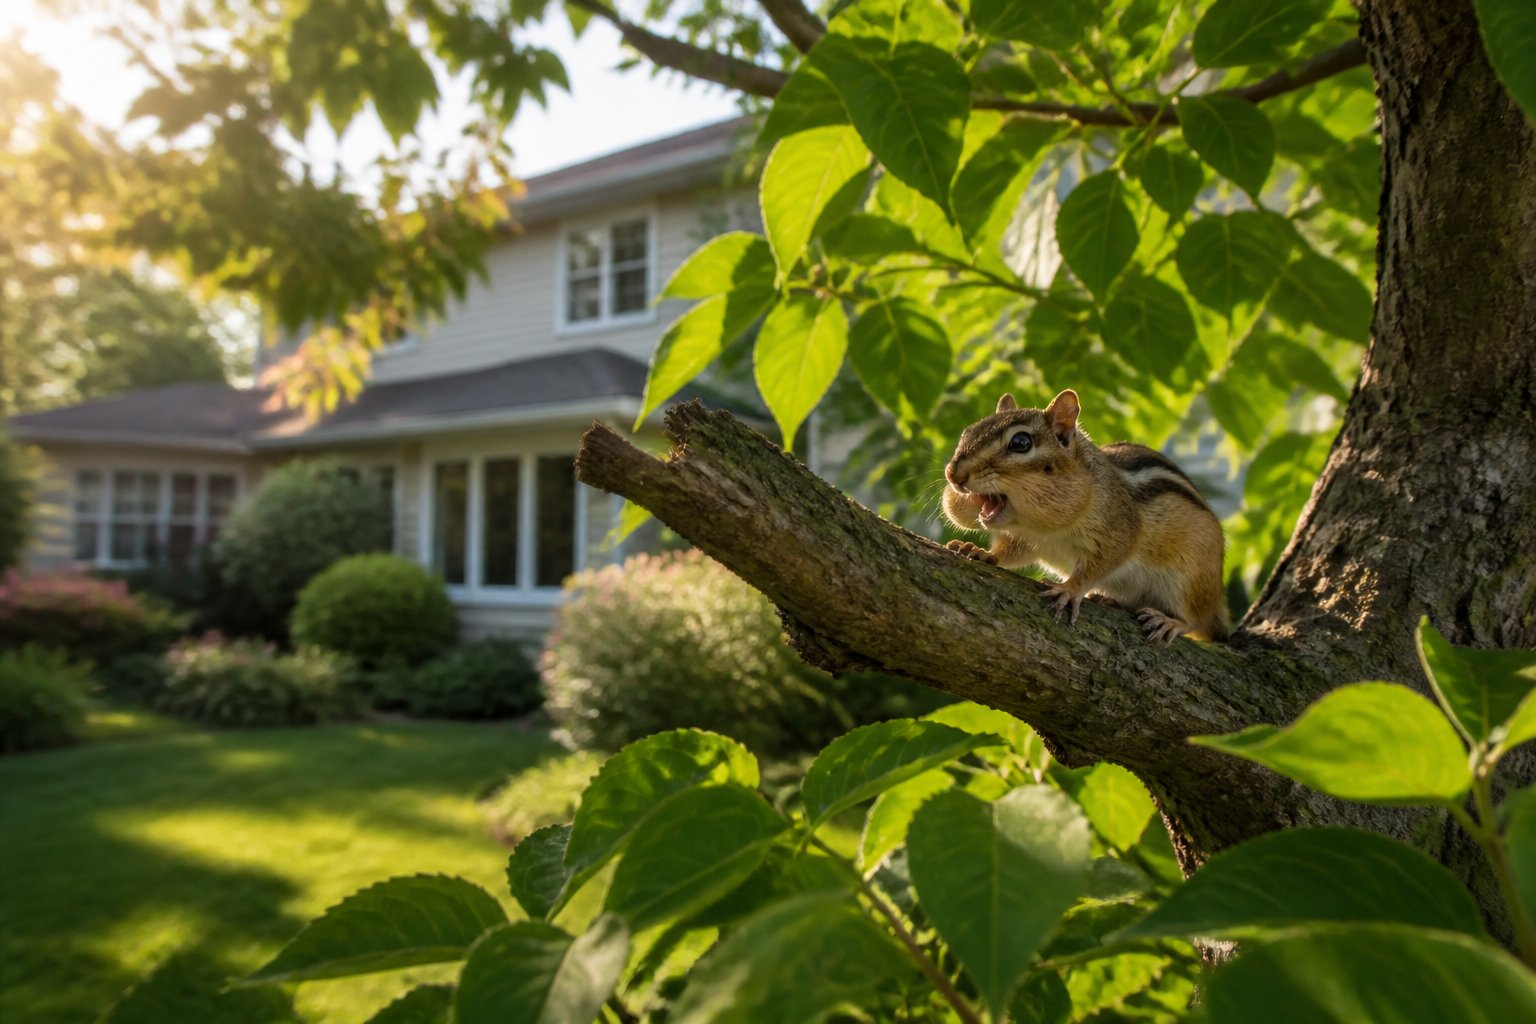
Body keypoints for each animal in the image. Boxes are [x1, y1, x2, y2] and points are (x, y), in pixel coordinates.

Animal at [940, 389, 1230, 643]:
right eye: (968, 432)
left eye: (1020, 443)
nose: (953, 474)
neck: (1043, 528)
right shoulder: (1026, 540)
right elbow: (1011, 553)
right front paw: (979, 552)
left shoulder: (1118, 530)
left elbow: (1101, 564)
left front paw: (1070, 589)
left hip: (1191, 580)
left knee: (1197, 621)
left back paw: (1171, 621)